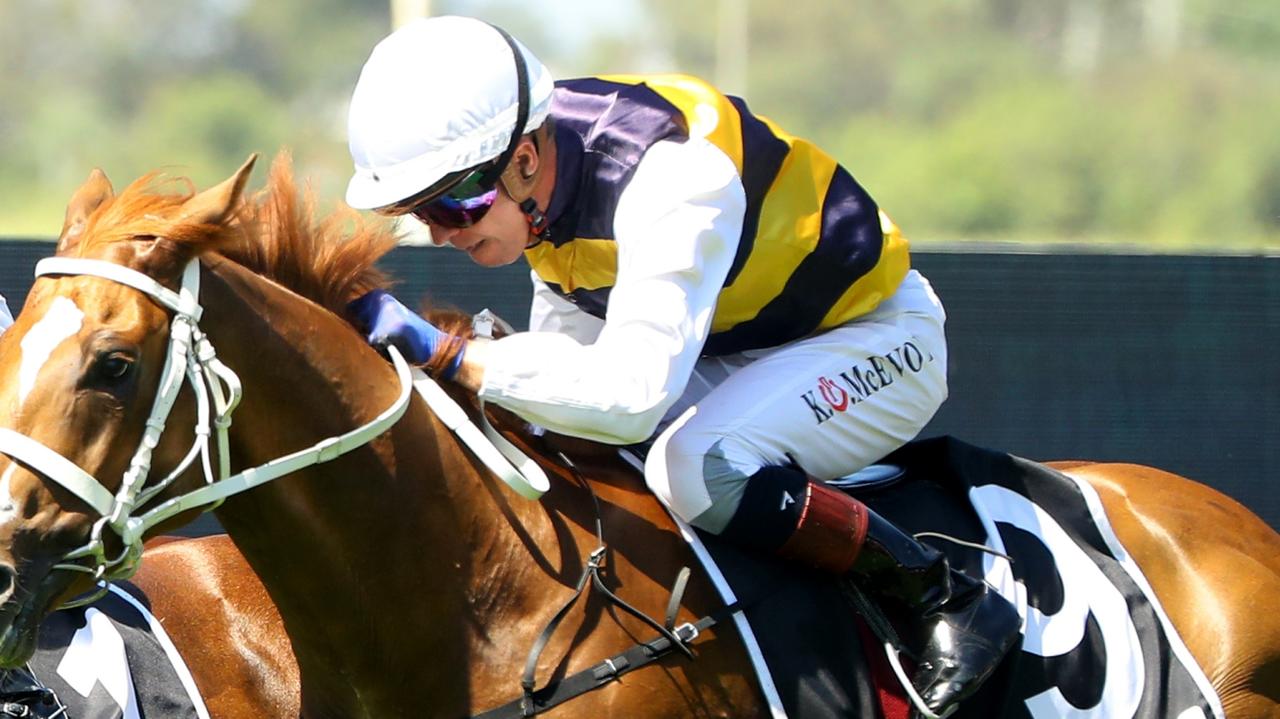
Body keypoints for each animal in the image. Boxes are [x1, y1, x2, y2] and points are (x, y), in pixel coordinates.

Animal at [0, 156, 1274, 716]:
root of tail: (1234, 530)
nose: (6, 547)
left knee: (708, 461)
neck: (472, 596)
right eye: (12, 341)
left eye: (113, 364)